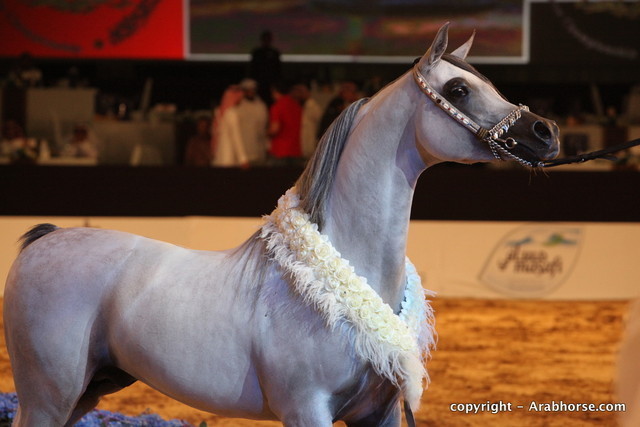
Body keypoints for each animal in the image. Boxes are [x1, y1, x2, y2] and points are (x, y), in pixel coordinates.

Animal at [4, 23, 559, 427]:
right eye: (460, 89)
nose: (546, 131)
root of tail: (46, 239)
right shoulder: (306, 409)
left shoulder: (378, 414)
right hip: (48, 398)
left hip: (88, 391)